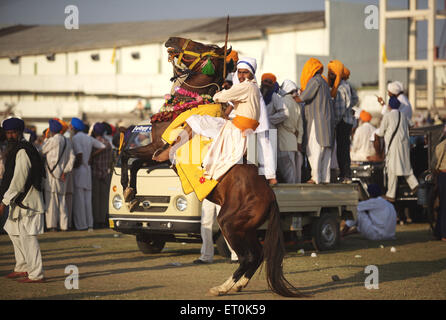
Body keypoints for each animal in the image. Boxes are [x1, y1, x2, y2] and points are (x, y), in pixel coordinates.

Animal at [120, 37, 304, 298]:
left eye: (202, 47)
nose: (171, 40)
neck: (186, 106)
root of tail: (270, 197)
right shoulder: (157, 155)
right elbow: (133, 162)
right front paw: (131, 195)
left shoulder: (160, 149)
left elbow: (128, 156)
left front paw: (128, 191)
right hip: (245, 228)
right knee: (256, 255)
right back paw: (237, 284)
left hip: (229, 222)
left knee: (249, 256)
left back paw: (224, 286)